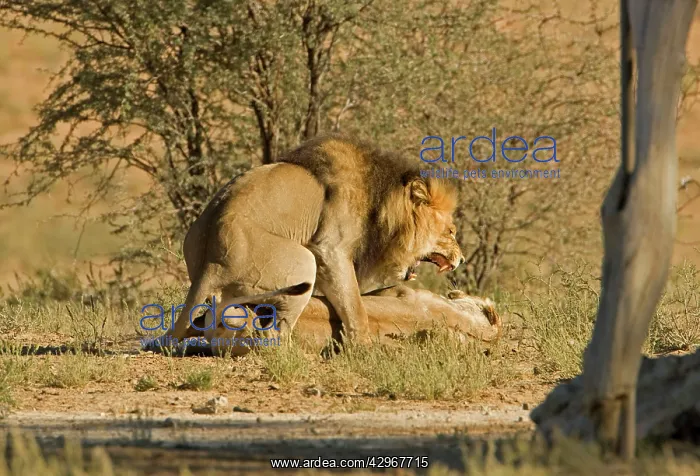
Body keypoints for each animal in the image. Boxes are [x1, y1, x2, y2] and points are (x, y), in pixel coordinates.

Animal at [158, 133, 464, 348]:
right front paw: (364, 347)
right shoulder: (330, 250)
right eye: (451, 231)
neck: (381, 204)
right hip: (304, 263)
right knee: (275, 335)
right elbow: (354, 305)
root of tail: (210, 263)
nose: (461, 259)